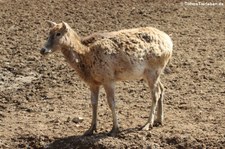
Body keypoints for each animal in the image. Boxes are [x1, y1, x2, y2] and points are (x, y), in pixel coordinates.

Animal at [40, 20, 172, 136]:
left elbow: (111, 102)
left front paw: (114, 129)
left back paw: (147, 124)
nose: (42, 50)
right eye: (48, 33)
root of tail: (170, 42)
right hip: (154, 73)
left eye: (58, 33)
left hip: (153, 71)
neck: (85, 56)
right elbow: (94, 102)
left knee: (156, 93)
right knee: (162, 88)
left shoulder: (108, 78)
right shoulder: (93, 82)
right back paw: (159, 120)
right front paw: (90, 129)